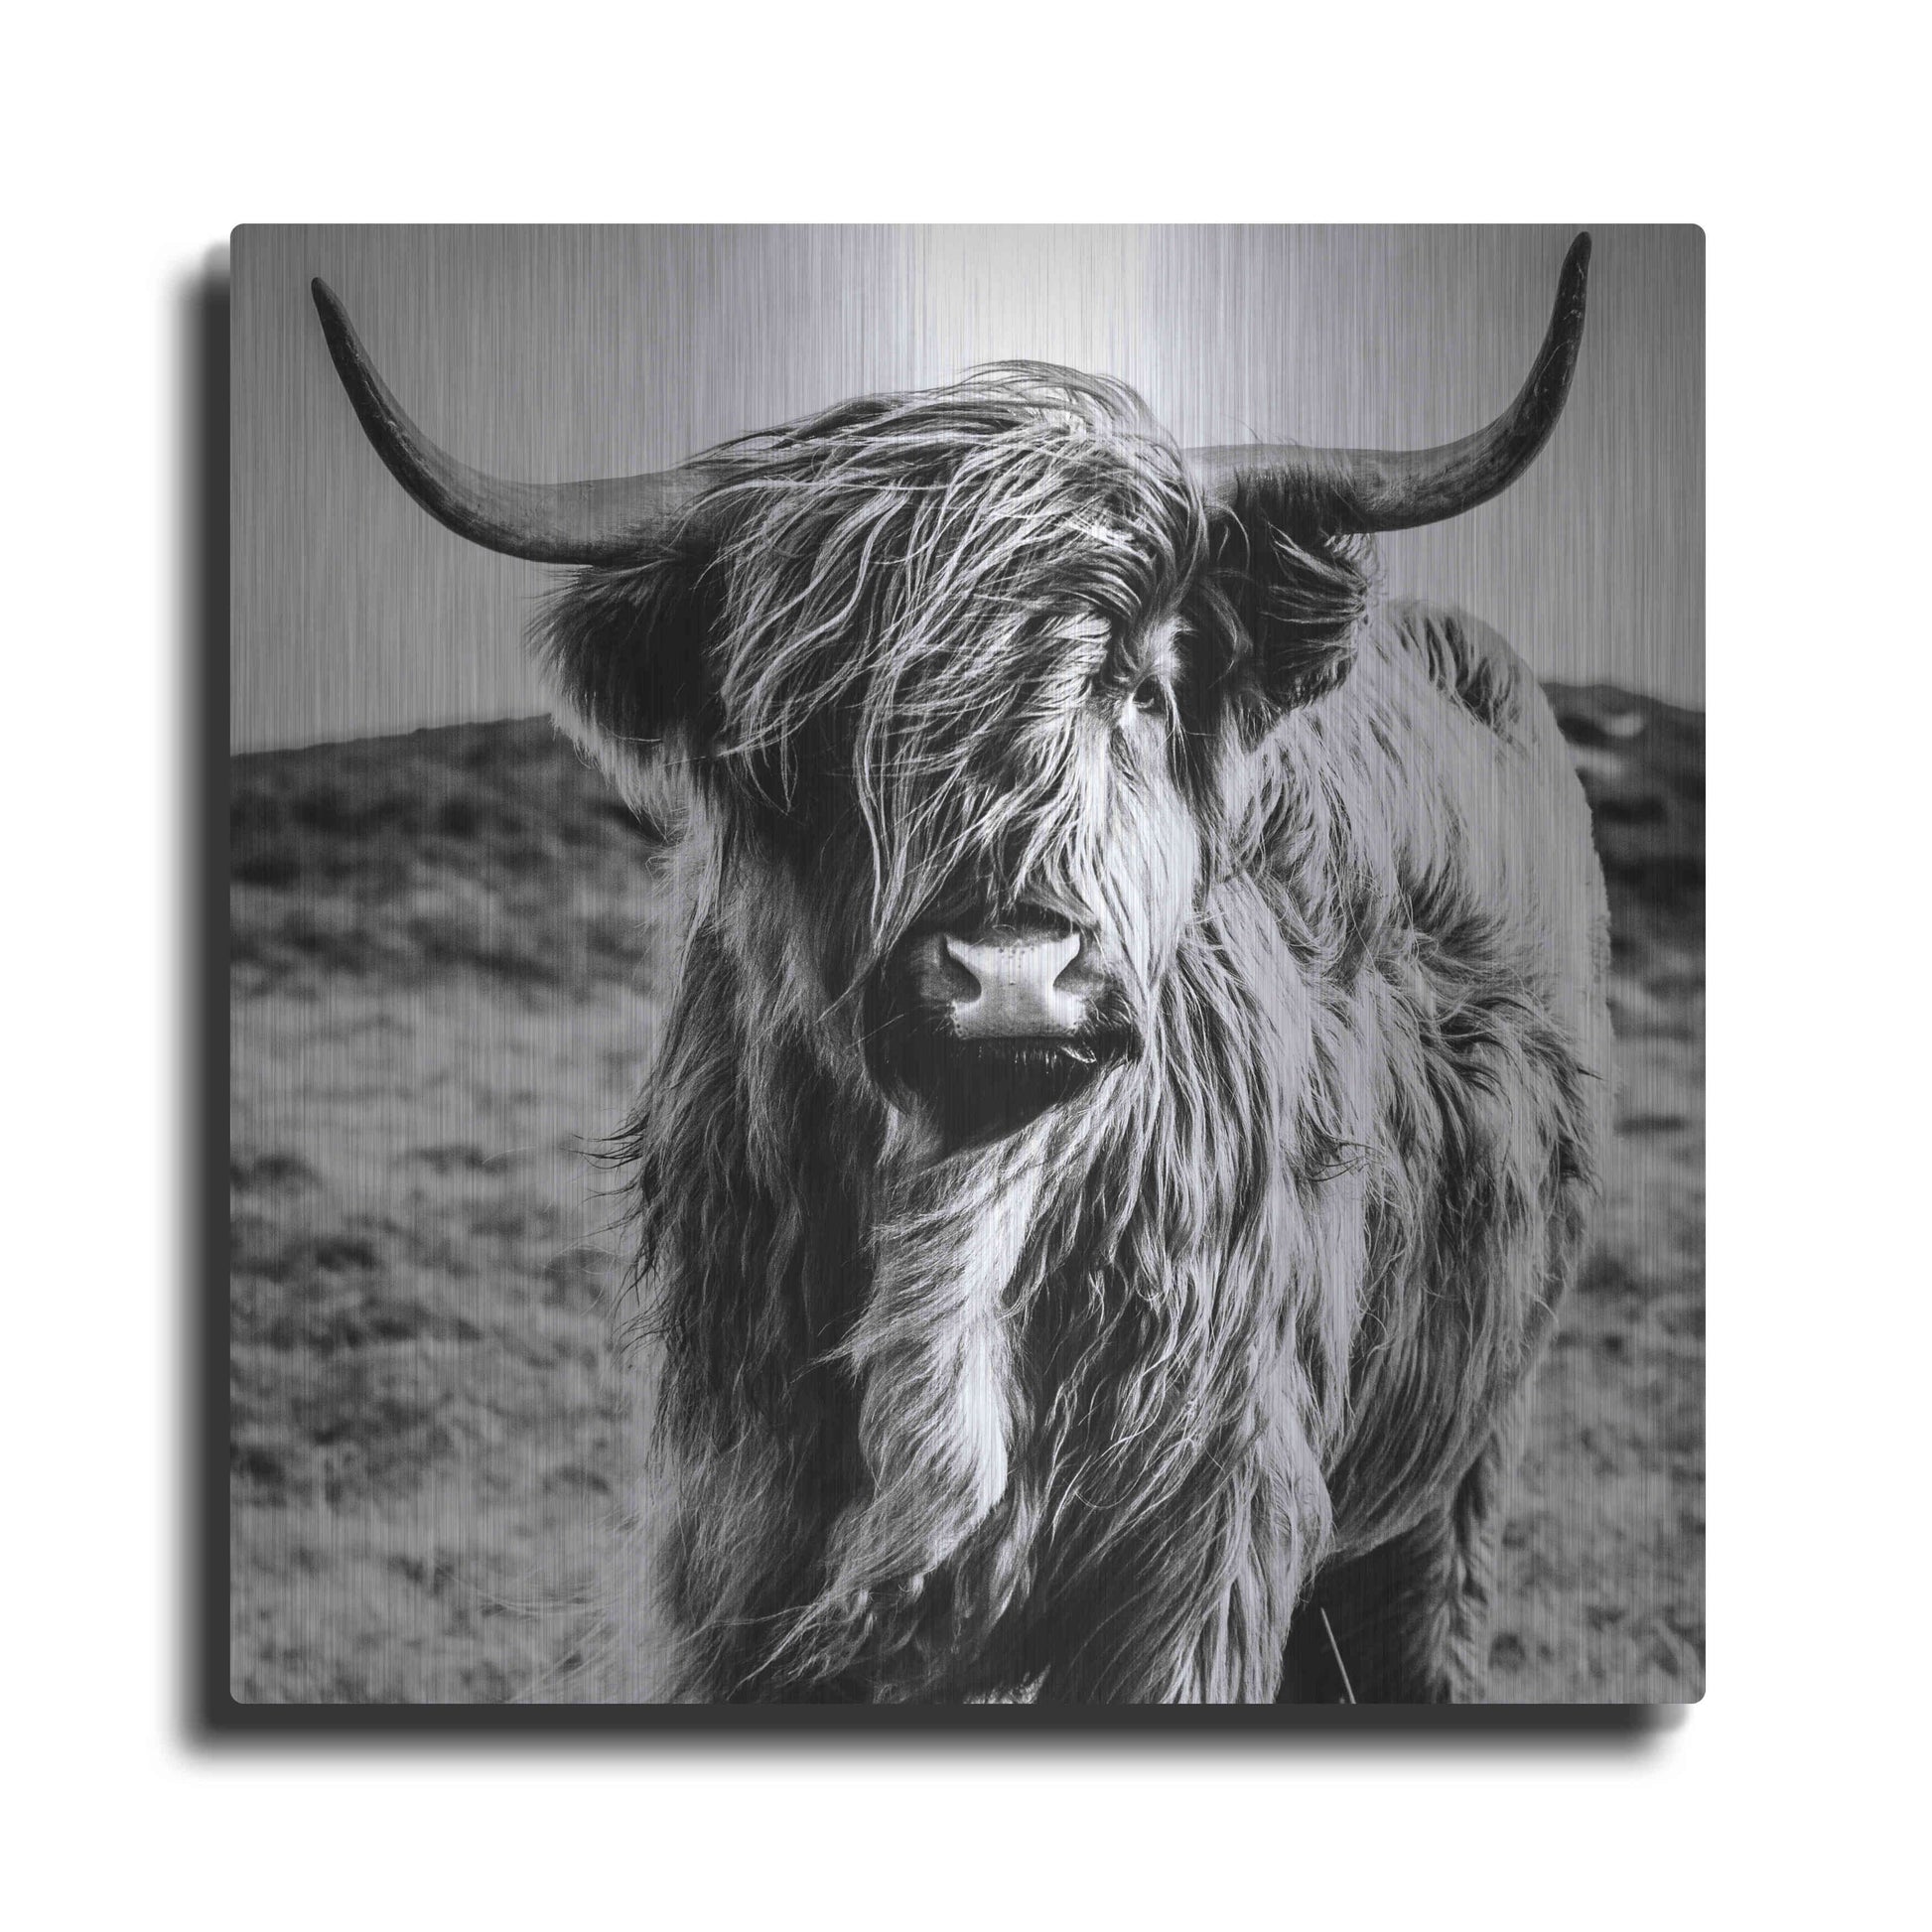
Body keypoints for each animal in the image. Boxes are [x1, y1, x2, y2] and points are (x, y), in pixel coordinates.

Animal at [312, 234, 1612, 1703]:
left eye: (1143, 686)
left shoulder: (1200, 1544)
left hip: (1460, 1460)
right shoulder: (734, 1545)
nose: (1010, 969)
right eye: (815, 725)